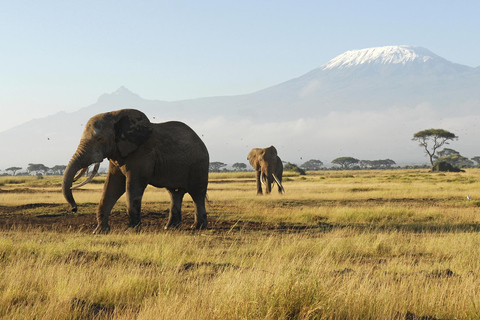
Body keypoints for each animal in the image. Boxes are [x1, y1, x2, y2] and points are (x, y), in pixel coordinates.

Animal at [61, 109, 208, 232]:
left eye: (99, 139)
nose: (74, 208)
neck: (115, 115)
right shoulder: (117, 153)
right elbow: (112, 186)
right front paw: (100, 231)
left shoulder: (142, 154)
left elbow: (133, 186)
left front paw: (131, 230)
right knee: (175, 193)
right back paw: (170, 228)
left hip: (199, 165)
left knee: (197, 194)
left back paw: (197, 227)